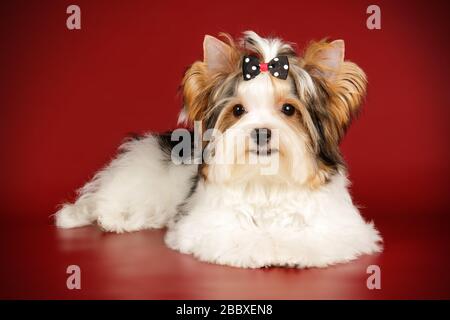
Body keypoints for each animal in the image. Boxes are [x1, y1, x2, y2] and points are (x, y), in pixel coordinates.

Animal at [54, 31, 382, 268]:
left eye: (289, 109)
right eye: (238, 110)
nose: (261, 132)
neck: (267, 180)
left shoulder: (342, 228)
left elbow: (313, 239)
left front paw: (286, 247)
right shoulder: (206, 226)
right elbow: (237, 237)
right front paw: (263, 248)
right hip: (139, 176)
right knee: (106, 202)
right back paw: (113, 219)